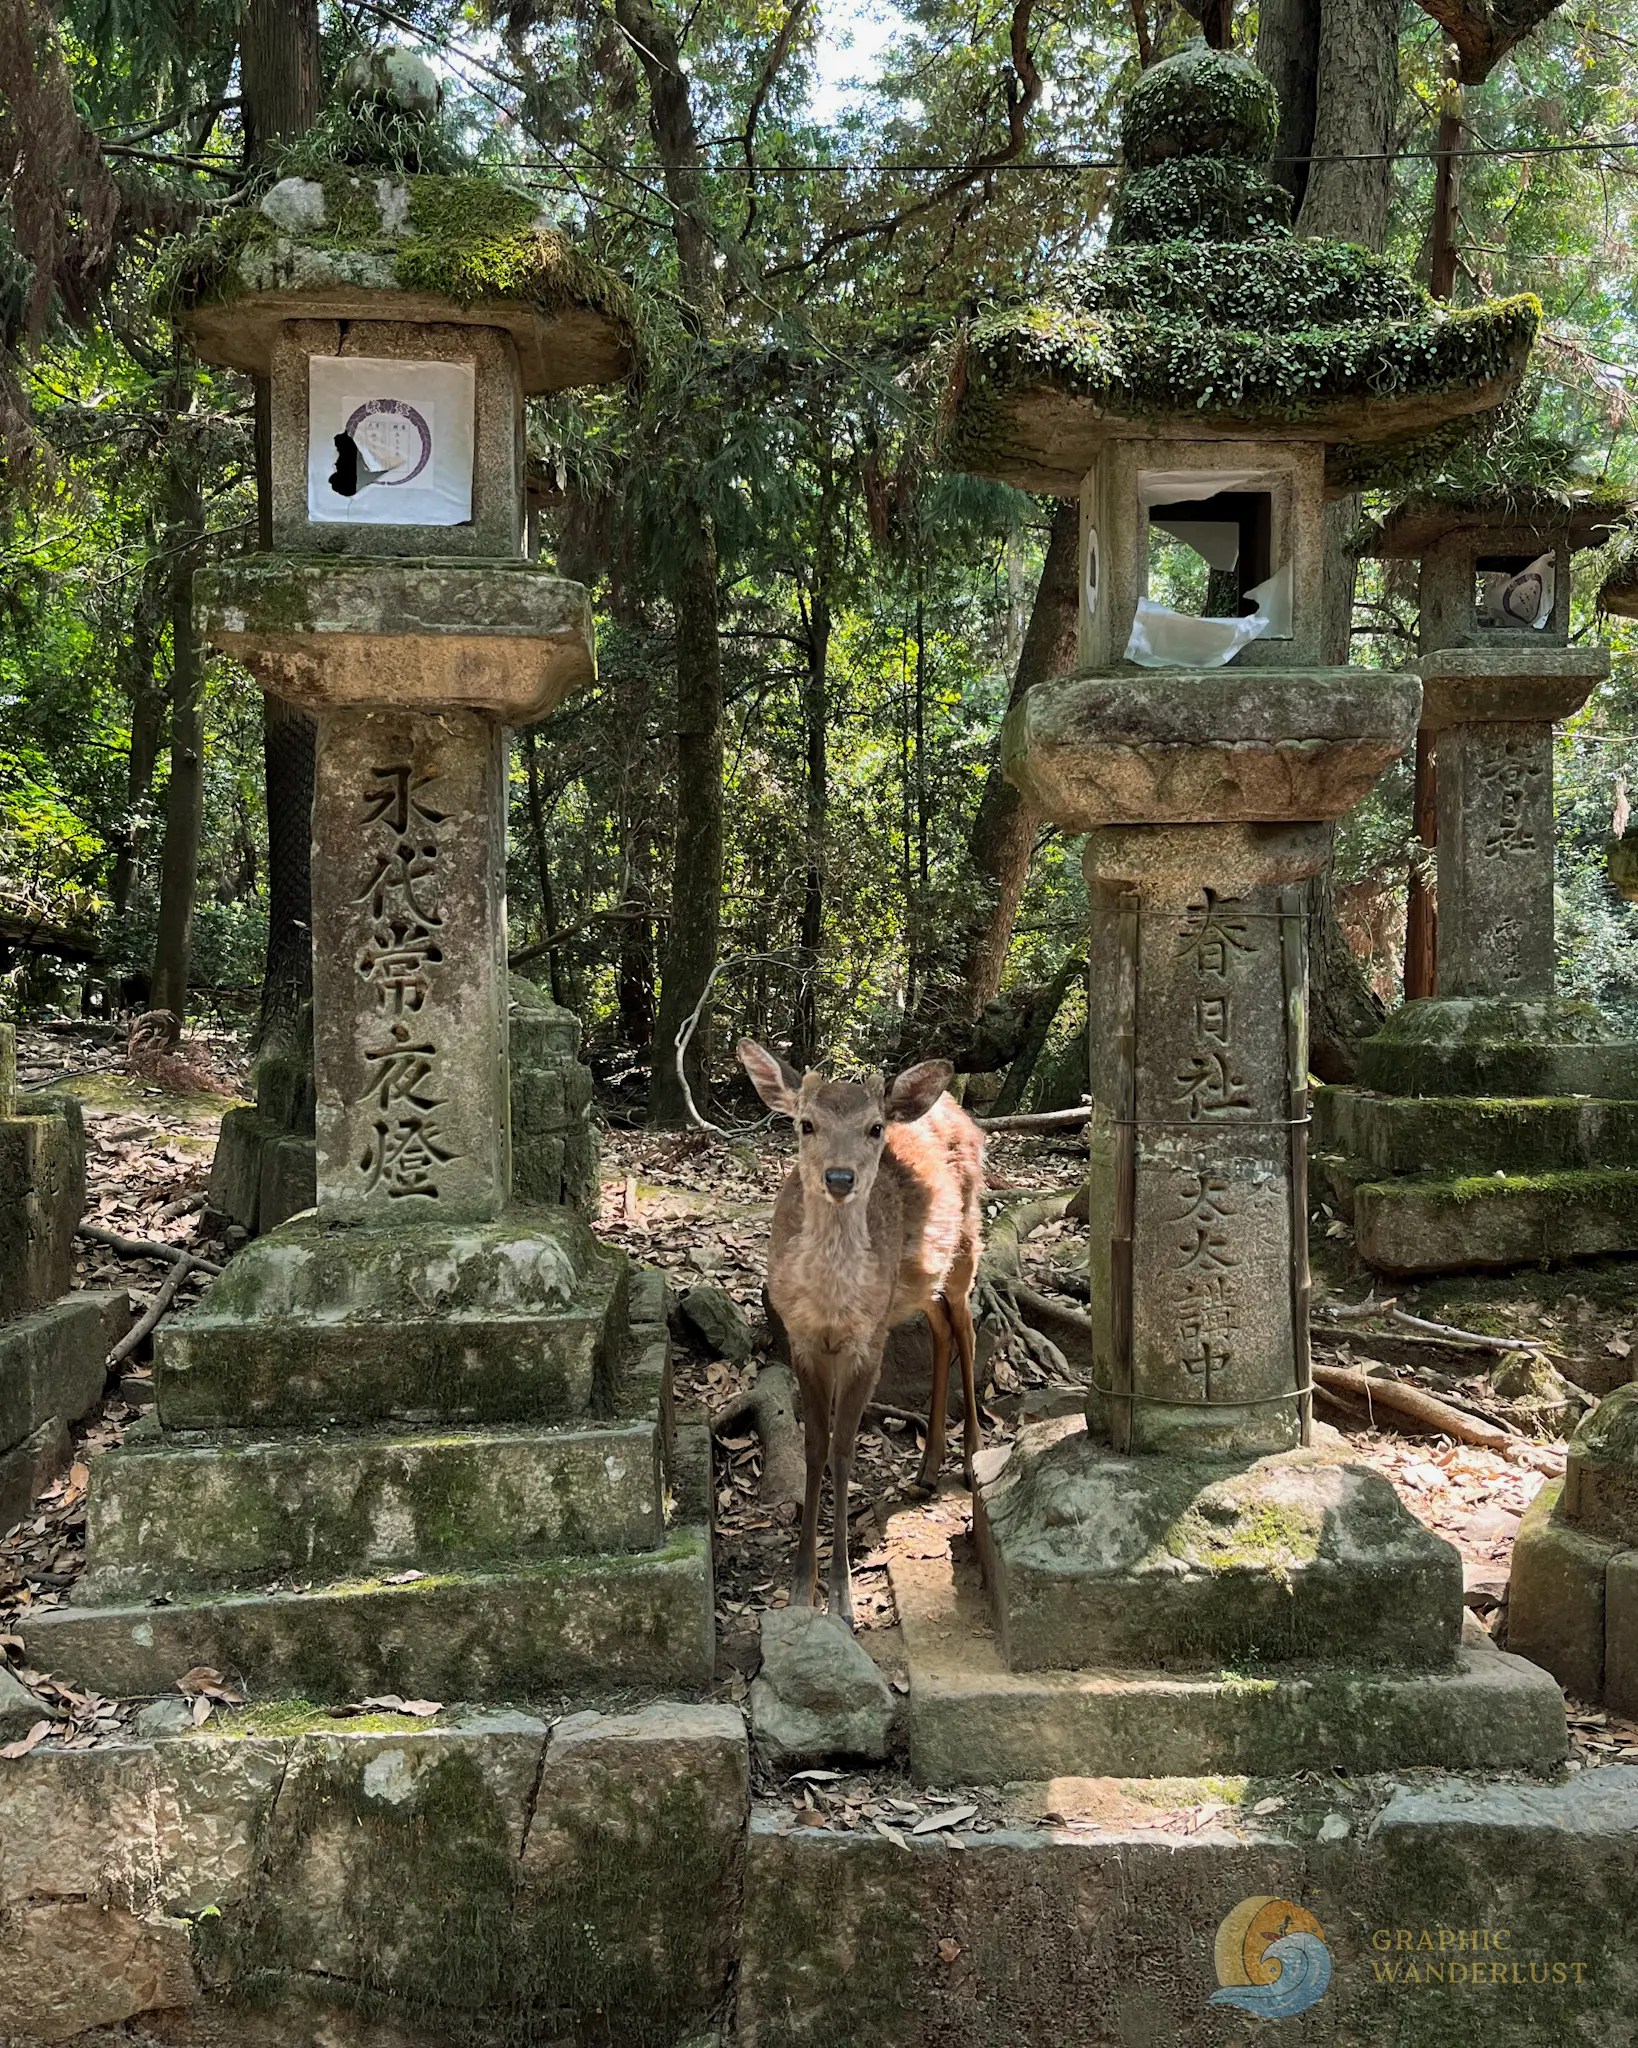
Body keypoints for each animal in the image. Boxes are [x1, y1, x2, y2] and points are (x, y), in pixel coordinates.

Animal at [737, 1040, 985, 1627]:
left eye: (874, 1128)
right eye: (805, 1123)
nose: (840, 1178)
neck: (832, 1308)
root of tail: (958, 1109)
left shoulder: (867, 1342)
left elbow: (844, 1450)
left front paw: (843, 1600)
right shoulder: (802, 1339)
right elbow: (814, 1447)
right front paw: (800, 1591)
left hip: (967, 1244)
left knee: (967, 1328)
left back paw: (970, 1460)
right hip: (914, 1286)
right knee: (942, 1330)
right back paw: (927, 1468)